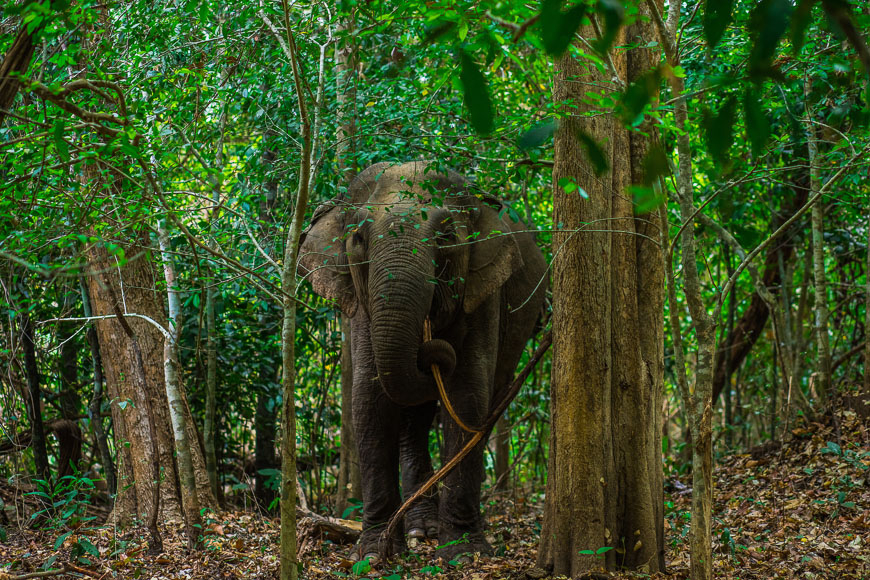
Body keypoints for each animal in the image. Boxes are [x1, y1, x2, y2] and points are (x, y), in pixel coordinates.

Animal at [298, 162, 544, 560]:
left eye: (445, 236)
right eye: (359, 238)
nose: (429, 348)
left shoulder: (482, 294)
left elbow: (467, 396)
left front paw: (463, 551)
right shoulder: (362, 309)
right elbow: (370, 400)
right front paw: (374, 554)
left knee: (486, 403)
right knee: (414, 421)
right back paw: (419, 530)